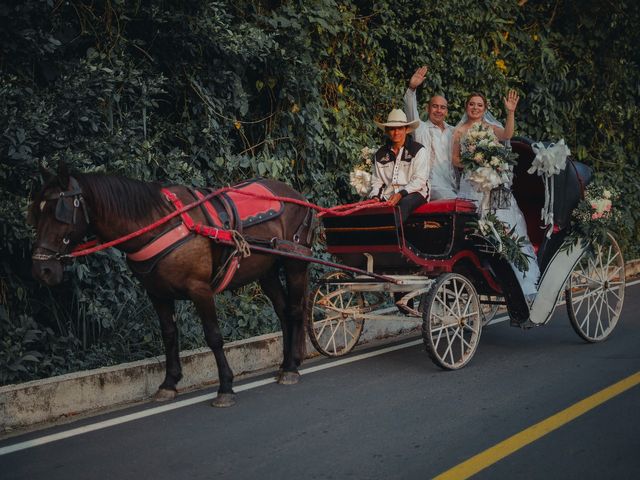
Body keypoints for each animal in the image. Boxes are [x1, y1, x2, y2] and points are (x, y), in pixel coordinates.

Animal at [28, 161, 314, 404]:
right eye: (36, 214)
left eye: (60, 214)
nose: (42, 269)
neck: (158, 224)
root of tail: (297, 196)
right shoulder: (157, 293)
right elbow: (168, 334)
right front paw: (169, 383)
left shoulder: (200, 289)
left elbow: (213, 336)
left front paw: (225, 386)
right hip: (267, 270)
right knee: (282, 311)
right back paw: (287, 363)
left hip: (295, 262)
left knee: (294, 310)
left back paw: (291, 367)